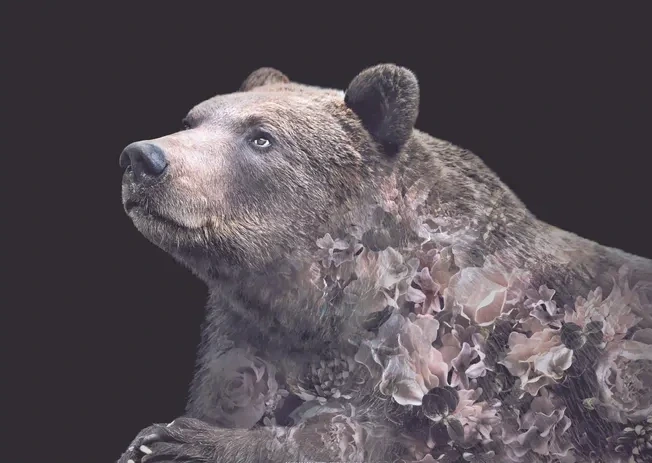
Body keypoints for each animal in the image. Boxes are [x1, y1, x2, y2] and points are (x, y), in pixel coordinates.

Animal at [118, 64, 652, 463]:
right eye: (193, 119)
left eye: (261, 137)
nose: (143, 158)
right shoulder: (243, 338)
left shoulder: (451, 348)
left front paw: (176, 441)